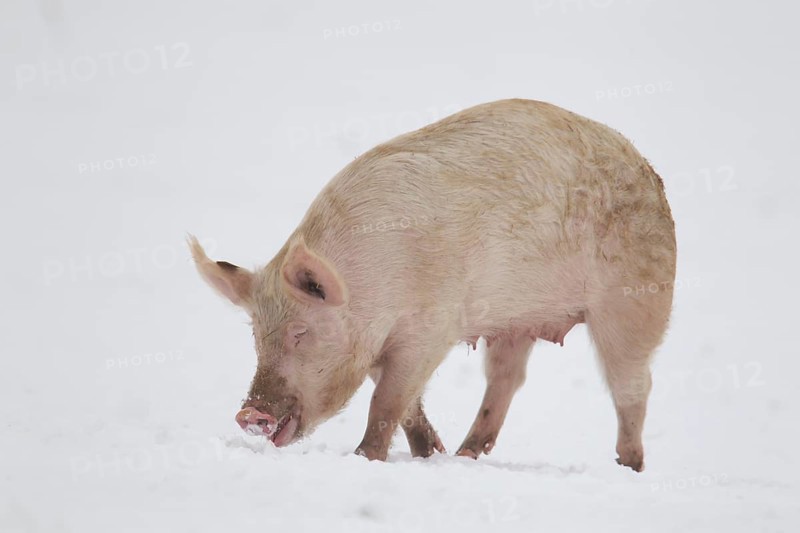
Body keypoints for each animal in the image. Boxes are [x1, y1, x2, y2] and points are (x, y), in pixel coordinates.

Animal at [190, 98, 676, 471]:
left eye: (300, 332)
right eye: (256, 337)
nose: (248, 413)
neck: (369, 288)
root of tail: (647, 170)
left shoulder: (431, 328)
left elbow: (387, 402)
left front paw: (365, 459)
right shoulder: (379, 345)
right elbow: (407, 406)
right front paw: (428, 455)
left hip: (636, 297)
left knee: (634, 384)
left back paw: (629, 466)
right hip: (515, 324)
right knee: (506, 380)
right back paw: (463, 455)